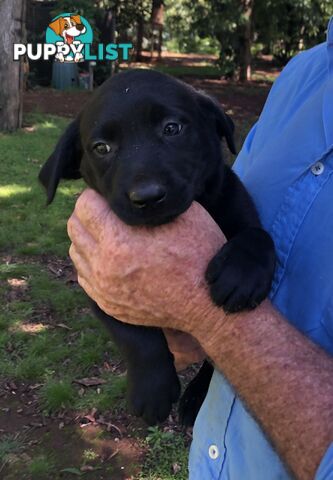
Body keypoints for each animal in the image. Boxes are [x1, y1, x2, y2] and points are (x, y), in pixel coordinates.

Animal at [39, 69, 274, 426]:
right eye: (101, 147)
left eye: (172, 128)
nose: (147, 196)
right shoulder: (98, 290)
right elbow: (137, 339)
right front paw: (152, 391)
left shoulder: (238, 204)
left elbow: (258, 236)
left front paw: (242, 275)